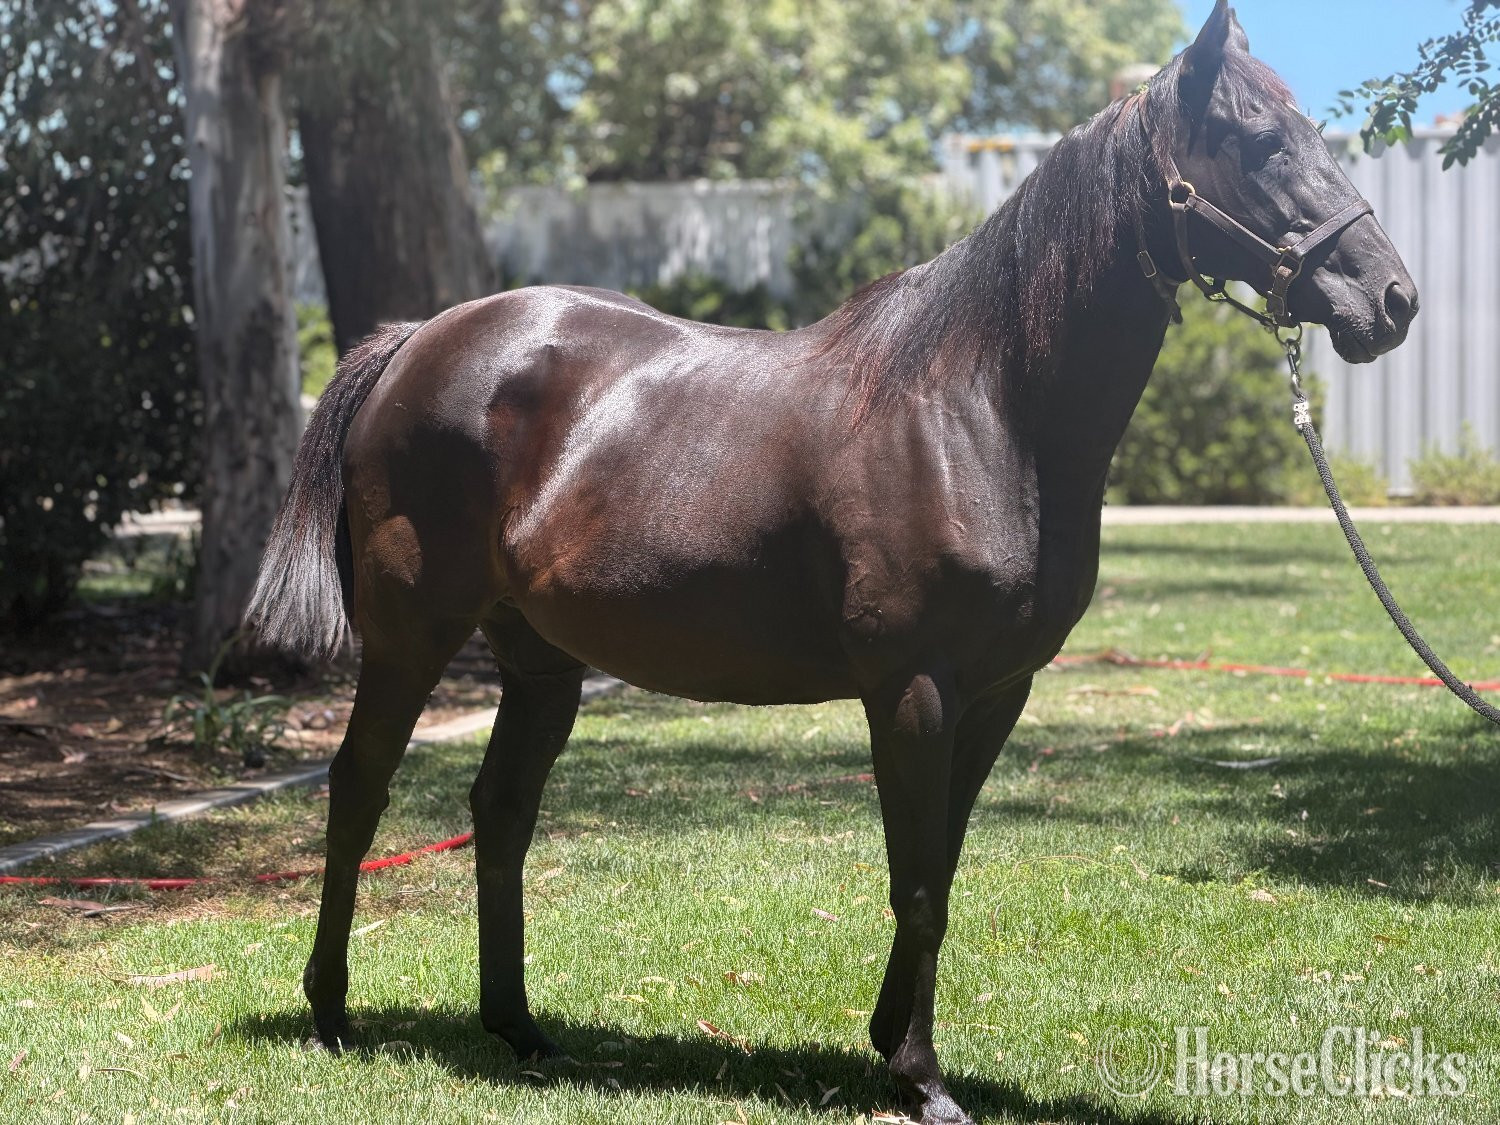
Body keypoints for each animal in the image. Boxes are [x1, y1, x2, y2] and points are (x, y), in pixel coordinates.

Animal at [246, 4, 1416, 1121]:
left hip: (539, 661)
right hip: (411, 637)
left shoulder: (997, 692)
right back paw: (331, 1012)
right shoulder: (912, 690)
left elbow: (941, 863)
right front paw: (921, 1076)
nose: (1393, 300)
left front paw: (892, 1043)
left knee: (500, 811)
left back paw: (520, 1028)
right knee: (359, 789)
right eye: (1258, 142)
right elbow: (917, 881)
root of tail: (417, 341)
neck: (980, 409)